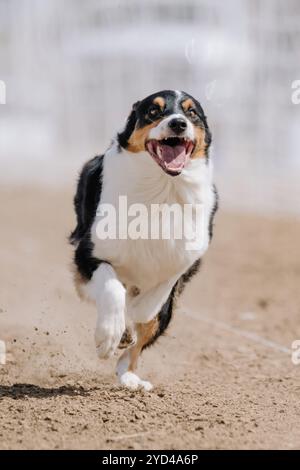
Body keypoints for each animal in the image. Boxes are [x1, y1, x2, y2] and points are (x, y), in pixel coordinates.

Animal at [69, 90, 217, 392]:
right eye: (153, 111)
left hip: (169, 309)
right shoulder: (88, 254)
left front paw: (135, 313)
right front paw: (108, 335)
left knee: (139, 341)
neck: (161, 189)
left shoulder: (184, 259)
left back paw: (130, 377)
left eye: (192, 112)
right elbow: (113, 287)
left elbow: (152, 303)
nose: (178, 123)